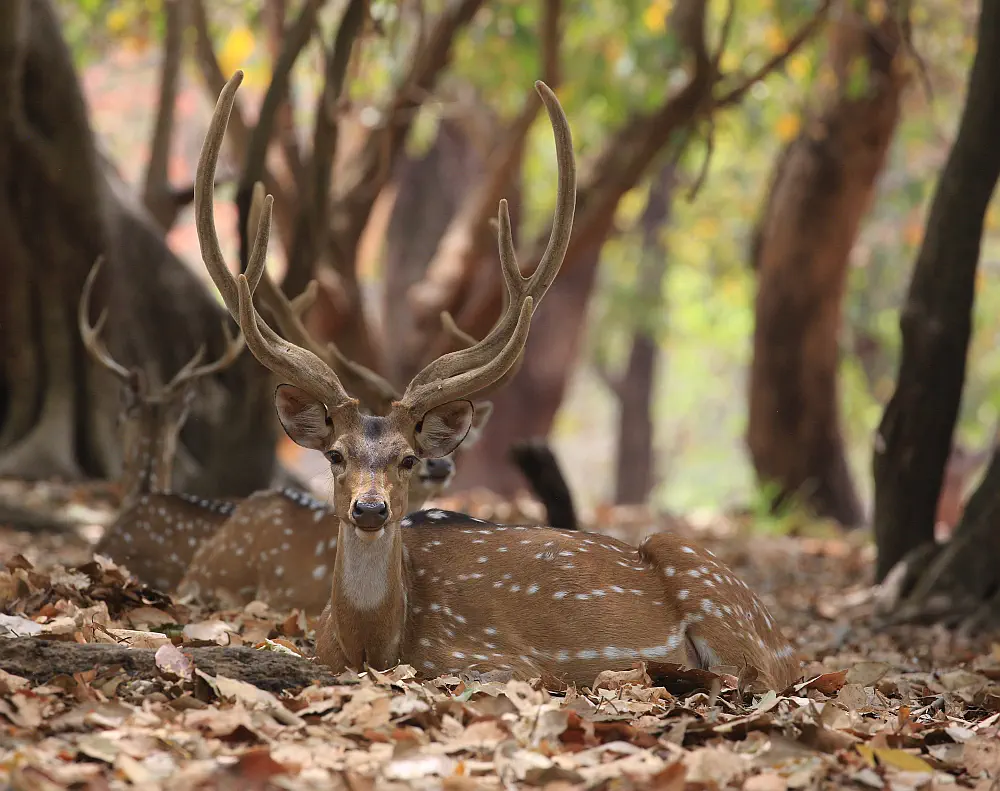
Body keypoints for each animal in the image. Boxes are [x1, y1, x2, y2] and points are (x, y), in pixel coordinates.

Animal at [193, 70, 799, 691]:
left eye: (407, 458)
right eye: (335, 454)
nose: (370, 510)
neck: (372, 644)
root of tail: (787, 646)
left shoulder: (501, 659)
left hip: (713, 592)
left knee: (750, 677)